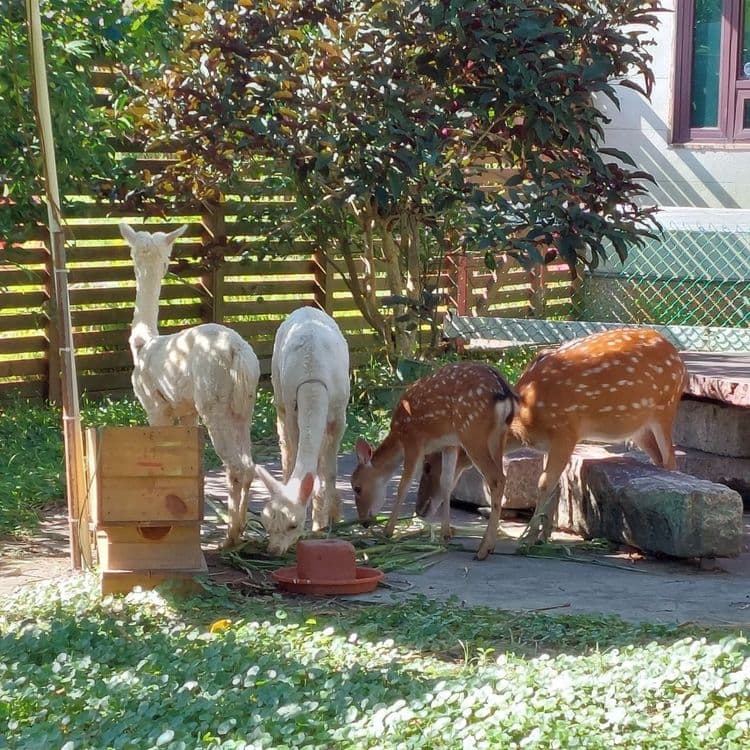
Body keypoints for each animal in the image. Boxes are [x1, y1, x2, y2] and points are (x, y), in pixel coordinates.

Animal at [351, 362, 519, 560]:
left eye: (357, 487)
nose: (364, 522)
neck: (397, 435)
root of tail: (505, 393)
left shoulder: (413, 440)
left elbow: (403, 484)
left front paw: (387, 531)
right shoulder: (449, 444)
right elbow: (446, 483)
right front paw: (445, 534)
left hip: (471, 432)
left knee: (497, 479)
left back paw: (484, 549)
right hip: (498, 436)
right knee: (502, 476)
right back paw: (488, 544)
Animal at [416, 327, 688, 546]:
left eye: (427, 465)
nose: (420, 509)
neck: (526, 419)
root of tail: (679, 359)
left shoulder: (566, 432)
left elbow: (544, 483)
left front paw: (526, 538)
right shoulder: (550, 444)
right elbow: (556, 486)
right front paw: (543, 536)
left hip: (664, 409)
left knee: (671, 460)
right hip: (639, 429)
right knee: (659, 459)